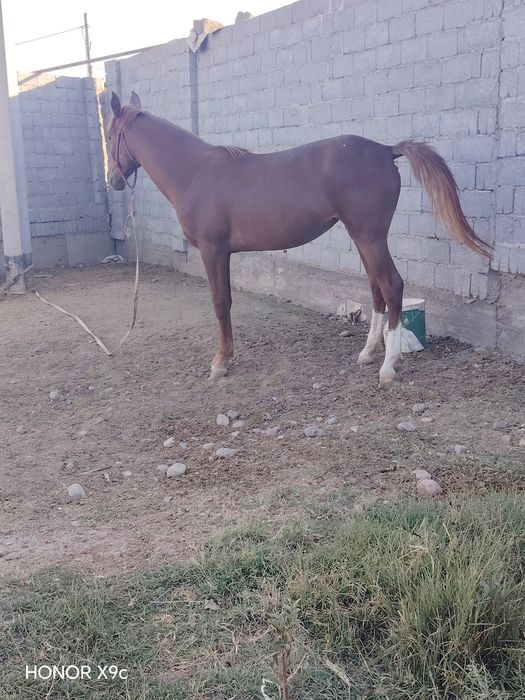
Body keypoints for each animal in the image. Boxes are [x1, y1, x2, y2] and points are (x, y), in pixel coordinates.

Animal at [105, 91, 492, 384]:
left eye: (109, 136)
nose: (113, 181)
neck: (195, 172)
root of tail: (385, 149)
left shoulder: (213, 251)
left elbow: (220, 303)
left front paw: (220, 363)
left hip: (370, 237)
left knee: (392, 286)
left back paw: (388, 367)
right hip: (362, 238)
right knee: (376, 290)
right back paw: (367, 354)